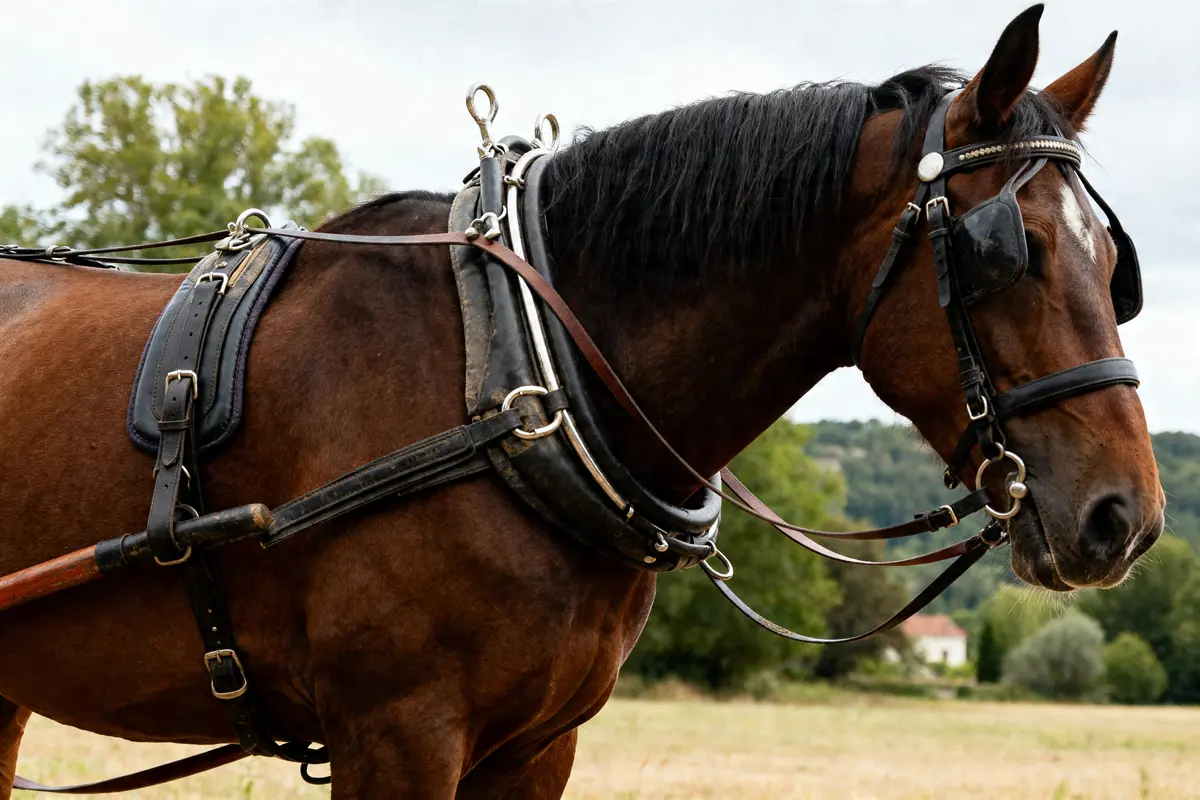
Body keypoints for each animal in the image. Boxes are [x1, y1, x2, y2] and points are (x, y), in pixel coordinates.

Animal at [0, 5, 1164, 797]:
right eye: (1009, 250)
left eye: (1116, 267)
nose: (1128, 518)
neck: (516, 376)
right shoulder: (396, 735)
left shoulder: (539, 746)